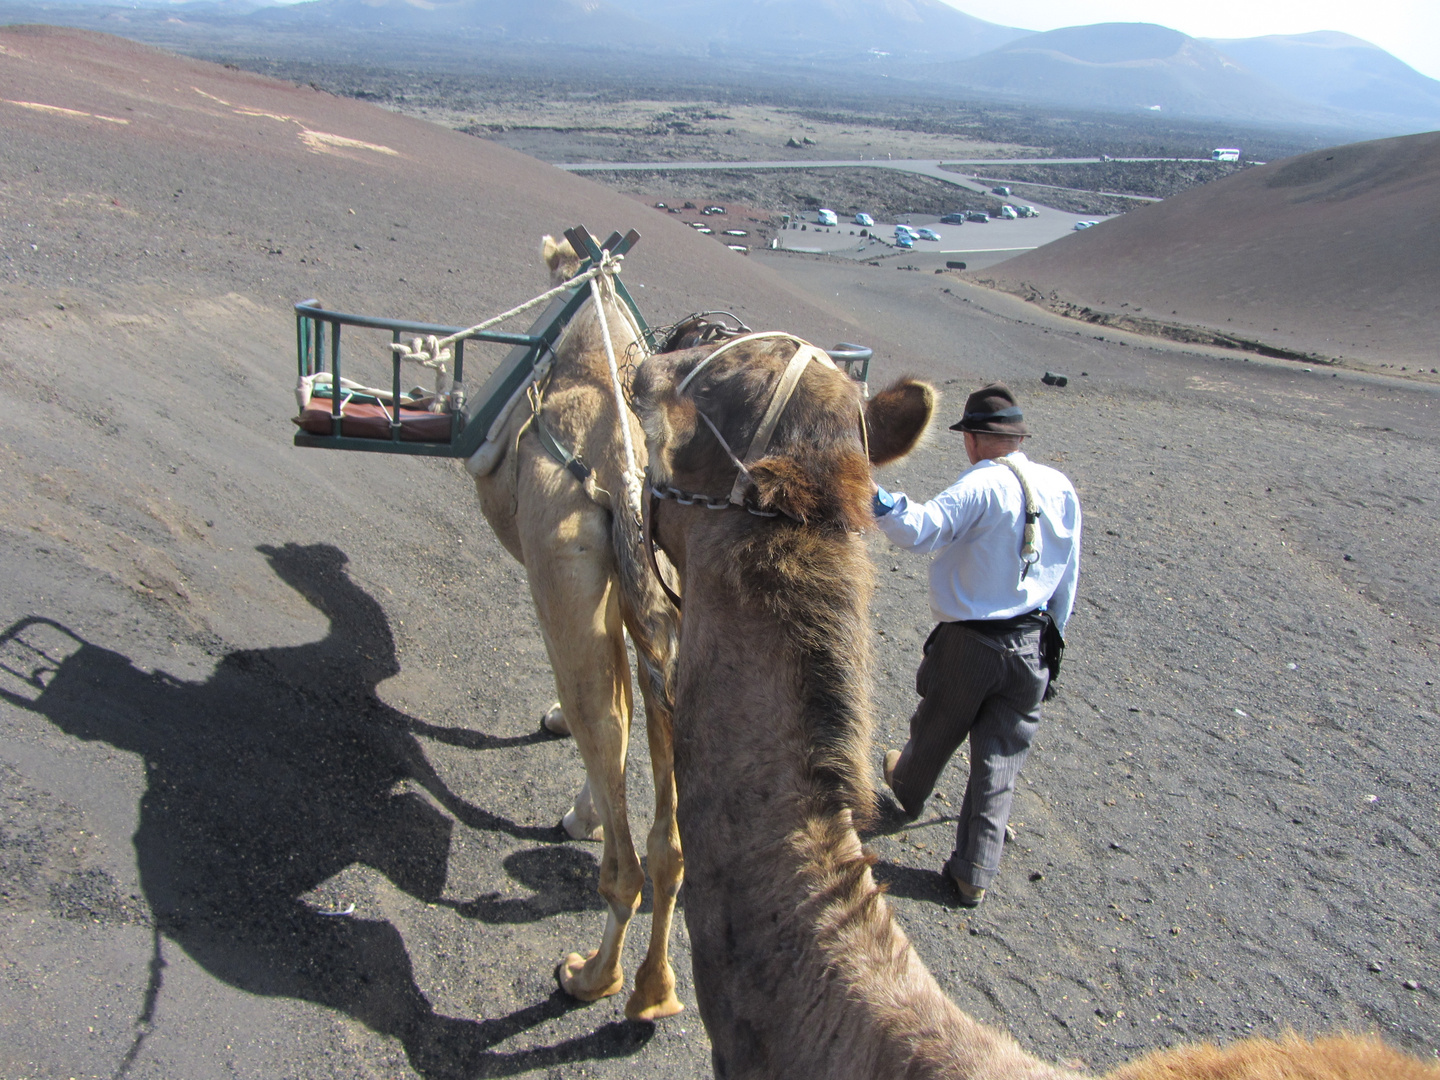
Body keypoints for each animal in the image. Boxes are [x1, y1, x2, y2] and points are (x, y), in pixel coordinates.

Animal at [463, 234, 682, 1025]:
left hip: (563, 572)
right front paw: (580, 809)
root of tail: (622, 475)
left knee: (623, 861)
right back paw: (654, 994)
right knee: (668, 847)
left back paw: (589, 978)